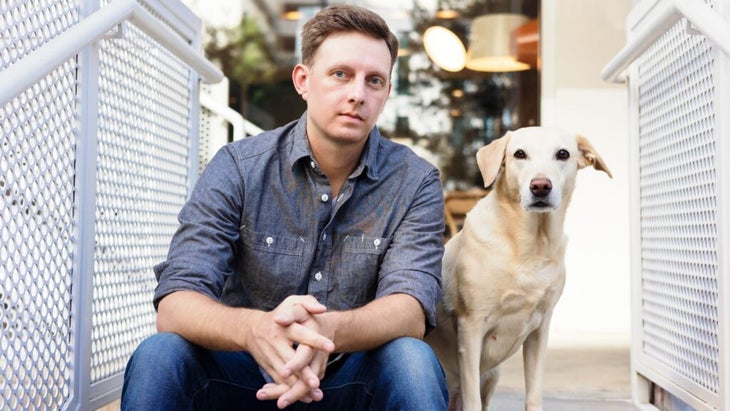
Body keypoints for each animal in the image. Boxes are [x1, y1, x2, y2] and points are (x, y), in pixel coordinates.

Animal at [424, 127, 612, 410]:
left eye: (563, 154)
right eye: (519, 154)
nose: (540, 186)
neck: (530, 245)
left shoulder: (540, 330)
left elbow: (533, 395)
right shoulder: (471, 329)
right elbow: (472, 400)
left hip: (492, 375)